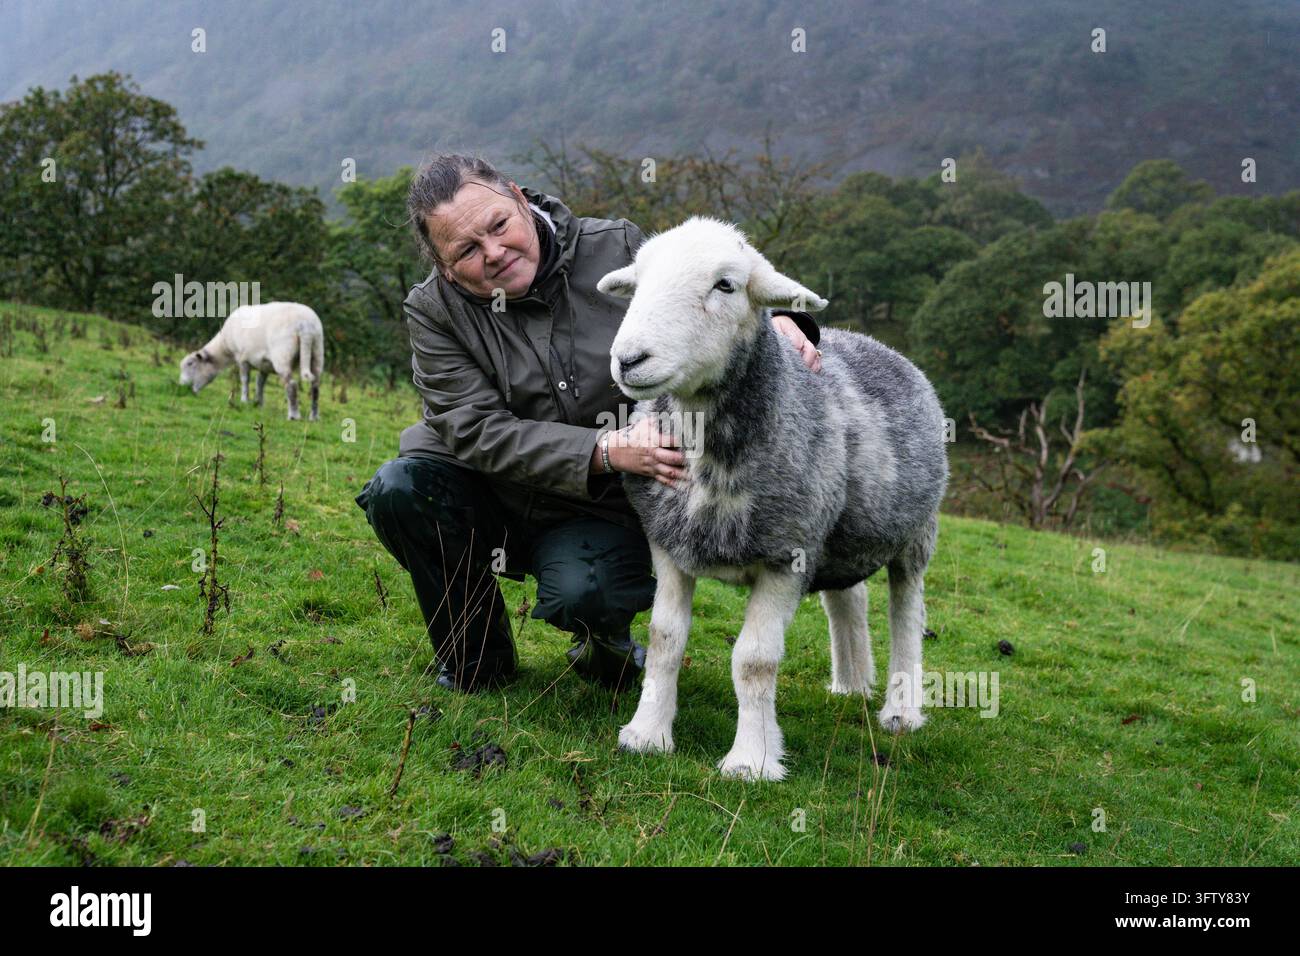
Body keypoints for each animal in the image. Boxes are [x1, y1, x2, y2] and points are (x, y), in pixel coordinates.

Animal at [179, 302, 324, 421]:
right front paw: (258, 403)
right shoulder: (265, 364)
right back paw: (314, 416)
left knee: (292, 385)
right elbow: (260, 382)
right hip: (317, 351)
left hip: (283, 354)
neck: (225, 346)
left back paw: (294, 416)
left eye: (190, 364)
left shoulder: (242, 358)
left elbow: (245, 380)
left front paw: (245, 400)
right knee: (315, 386)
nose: (183, 387)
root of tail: (305, 326)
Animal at [596, 216, 949, 781]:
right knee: (849, 596)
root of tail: (876, 342)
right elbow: (666, 638)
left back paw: (901, 710)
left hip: (916, 530)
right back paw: (851, 683)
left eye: (726, 285)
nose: (629, 359)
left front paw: (751, 761)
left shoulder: (787, 557)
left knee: (907, 611)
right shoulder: (669, 544)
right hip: (840, 529)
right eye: (640, 278)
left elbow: (754, 661)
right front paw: (647, 733)